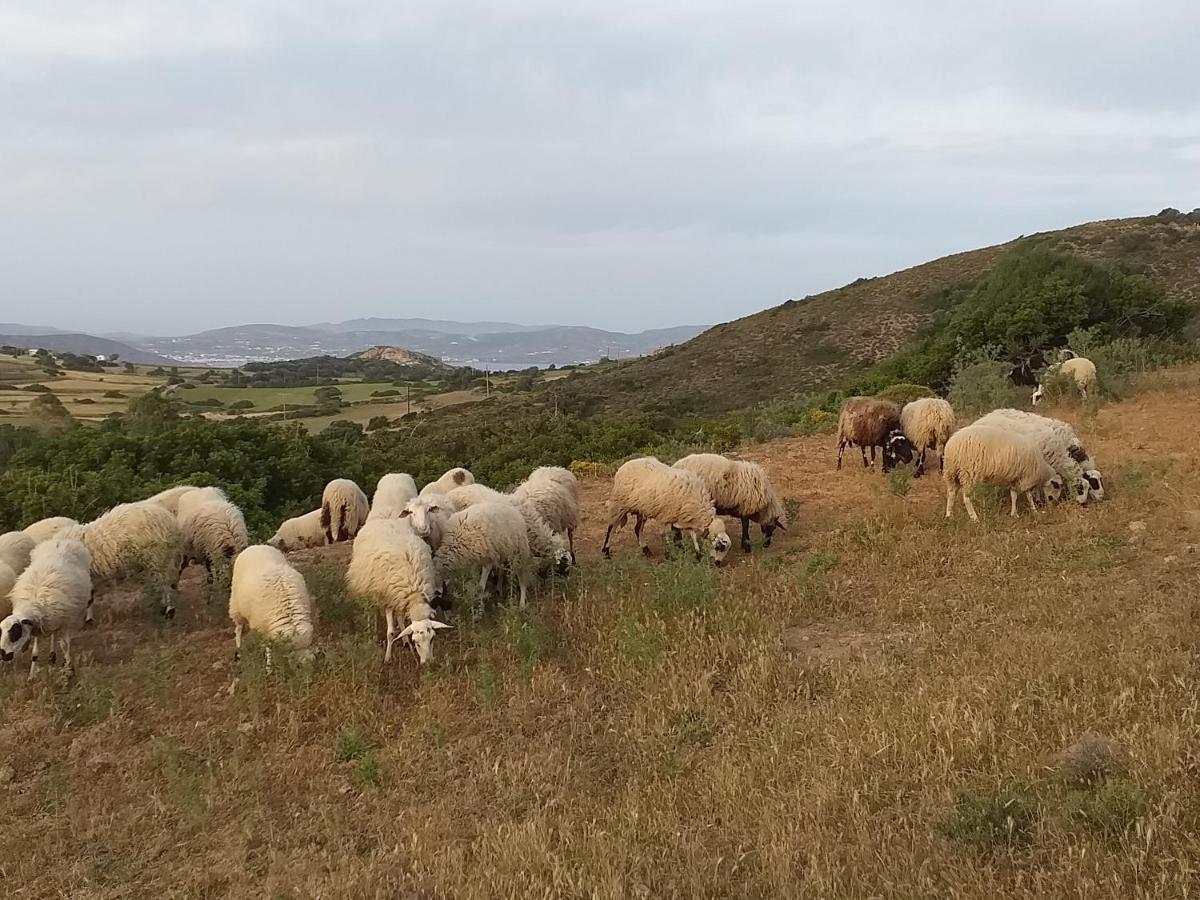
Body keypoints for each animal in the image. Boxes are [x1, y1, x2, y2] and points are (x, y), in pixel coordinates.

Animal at [0, 535, 91, 676]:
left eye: (15, 631)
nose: (4, 656)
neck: (34, 603)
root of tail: (60, 540)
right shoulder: (38, 626)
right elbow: (34, 653)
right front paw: (31, 675)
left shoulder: (65, 622)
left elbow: (65, 645)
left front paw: (69, 669)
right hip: (54, 617)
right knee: (53, 634)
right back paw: (51, 657)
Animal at [348, 518, 451, 667]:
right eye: (416, 642)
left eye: (432, 639)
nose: (428, 663)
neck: (414, 596)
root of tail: (384, 520)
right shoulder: (388, 599)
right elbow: (390, 633)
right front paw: (387, 658)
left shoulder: (400, 597)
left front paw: (405, 640)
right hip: (370, 587)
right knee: (373, 610)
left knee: (400, 616)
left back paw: (404, 640)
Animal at [600, 458, 729, 564]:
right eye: (719, 547)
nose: (718, 564)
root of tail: (625, 465)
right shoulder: (665, 516)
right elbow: (666, 535)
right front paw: (670, 555)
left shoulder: (684, 518)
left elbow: (693, 537)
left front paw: (697, 554)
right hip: (619, 504)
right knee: (612, 527)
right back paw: (606, 552)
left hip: (642, 509)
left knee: (637, 529)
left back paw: (646, 550)